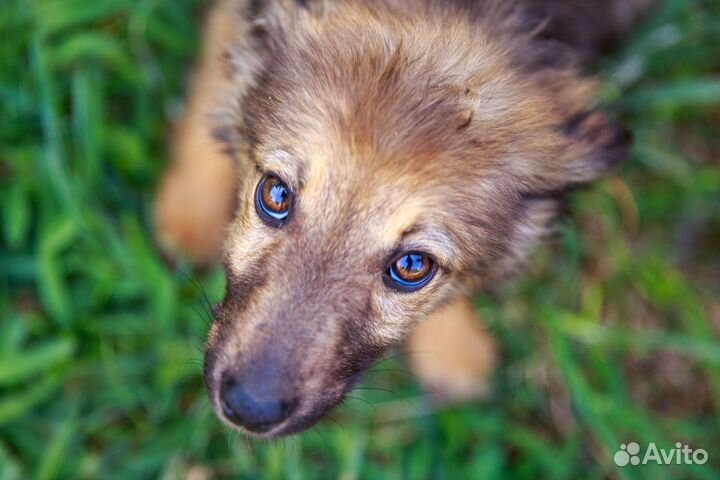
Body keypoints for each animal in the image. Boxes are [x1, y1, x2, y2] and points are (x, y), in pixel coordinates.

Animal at [156, 0, 652, 436]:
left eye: (413, 266)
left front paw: (453, 348)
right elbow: (214, 84)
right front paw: (189, 212)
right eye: (275, 195)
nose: (248, 408)